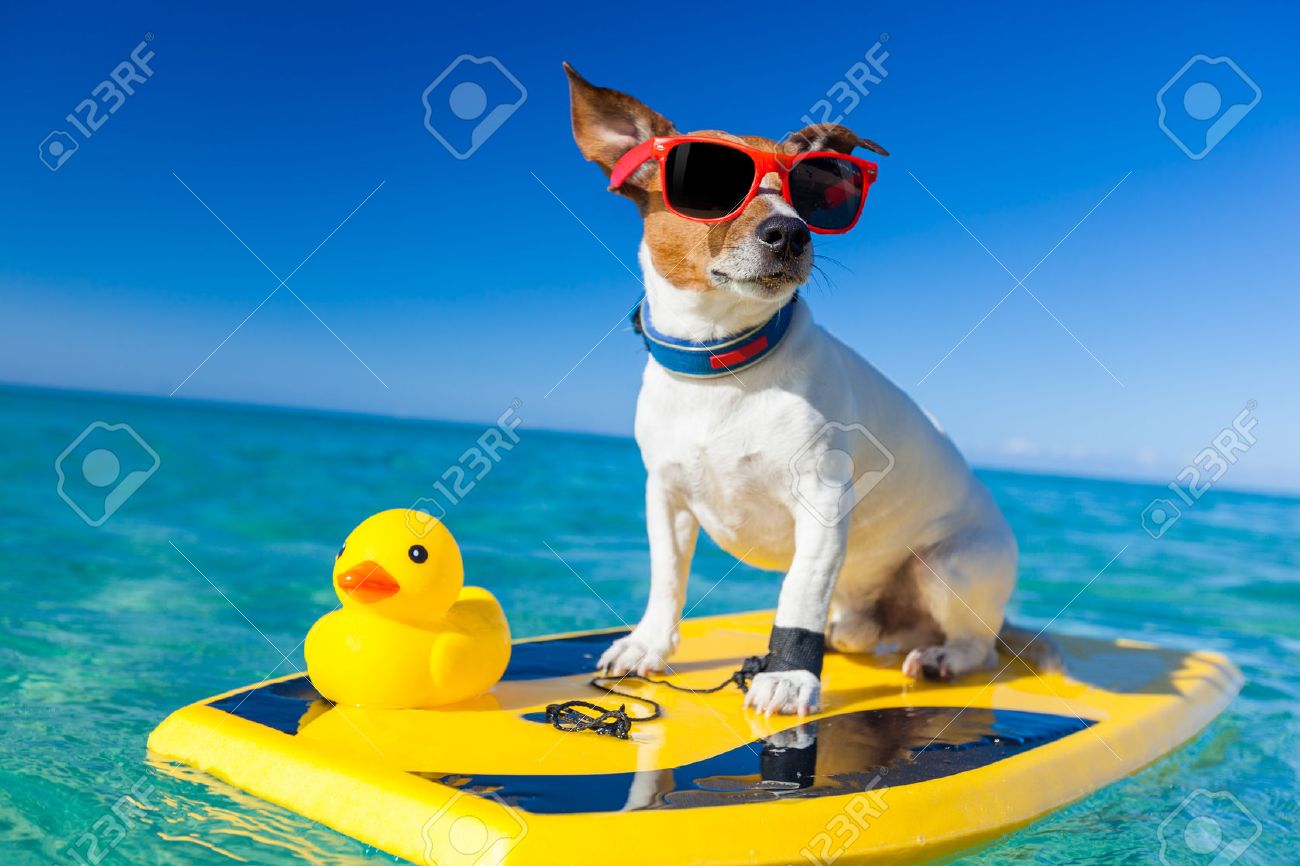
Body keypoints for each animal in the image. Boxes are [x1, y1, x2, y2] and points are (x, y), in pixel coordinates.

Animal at [564, 65, 1060, 712]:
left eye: (814, 193)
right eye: (712, 184)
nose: (790, 232)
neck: (723, 364)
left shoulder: (822, 503)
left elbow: (799, 593)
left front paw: (790, 675)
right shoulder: (665, 498)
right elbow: (667, 579)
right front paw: (647, 645)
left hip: (948, 568)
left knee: (977, 646)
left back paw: (942, 658)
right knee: (862, 628)